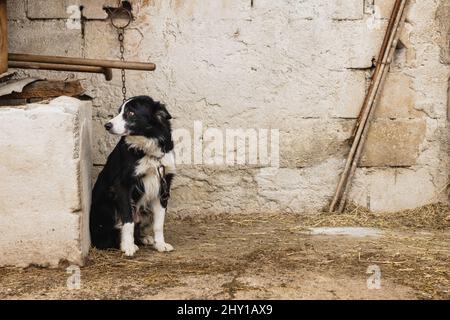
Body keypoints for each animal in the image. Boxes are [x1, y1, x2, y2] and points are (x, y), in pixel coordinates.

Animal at [90, 95, 175, 258]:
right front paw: (128, 246)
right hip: (108, 206)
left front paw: (160, 244)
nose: (107, 125)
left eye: (131, 113)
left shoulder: (163, 185)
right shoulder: (122, 186)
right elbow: (128, 221)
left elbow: (159, 223)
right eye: (120, 111)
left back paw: (144, 238)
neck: (147, 148)